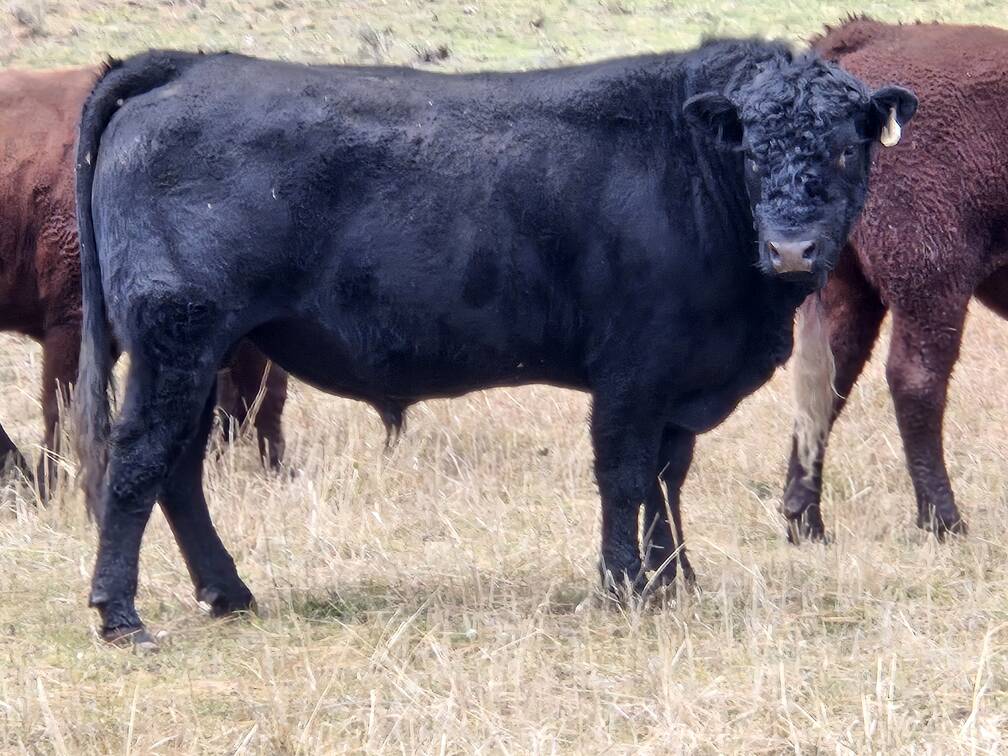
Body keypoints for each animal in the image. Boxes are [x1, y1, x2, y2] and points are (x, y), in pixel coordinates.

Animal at [73, 42, 915, 646]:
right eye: (753, 152)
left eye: (845, 150)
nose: (792, 250)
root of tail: (188, 65)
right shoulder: (633, 373)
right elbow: (625, 477)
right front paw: (624, 587)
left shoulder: (679, 382)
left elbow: (668, 480)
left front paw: (676, 579)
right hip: (176, 341)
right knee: (139, 460)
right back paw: (120, 615)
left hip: (204, 351)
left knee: (180, 469)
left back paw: (228, 593)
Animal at [782, 19, 1008, 541]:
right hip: (931, 275)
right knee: (915, 381)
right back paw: (943, 522)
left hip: (842, 280)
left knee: (825, 377)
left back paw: (806, 522)